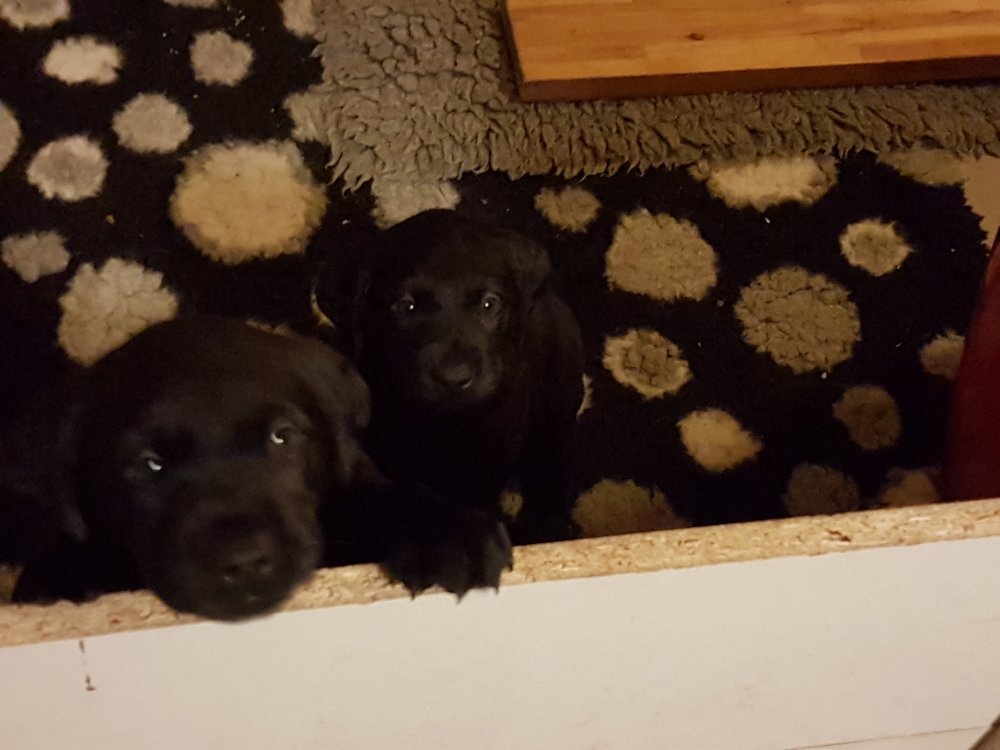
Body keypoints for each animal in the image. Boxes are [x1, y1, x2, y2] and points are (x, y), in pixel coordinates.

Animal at [3, 316, 511, 619]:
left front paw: (449, 534)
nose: (244, 561)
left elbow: (392, 494)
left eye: (281, 435)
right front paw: (62, 572)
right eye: (150, 464)